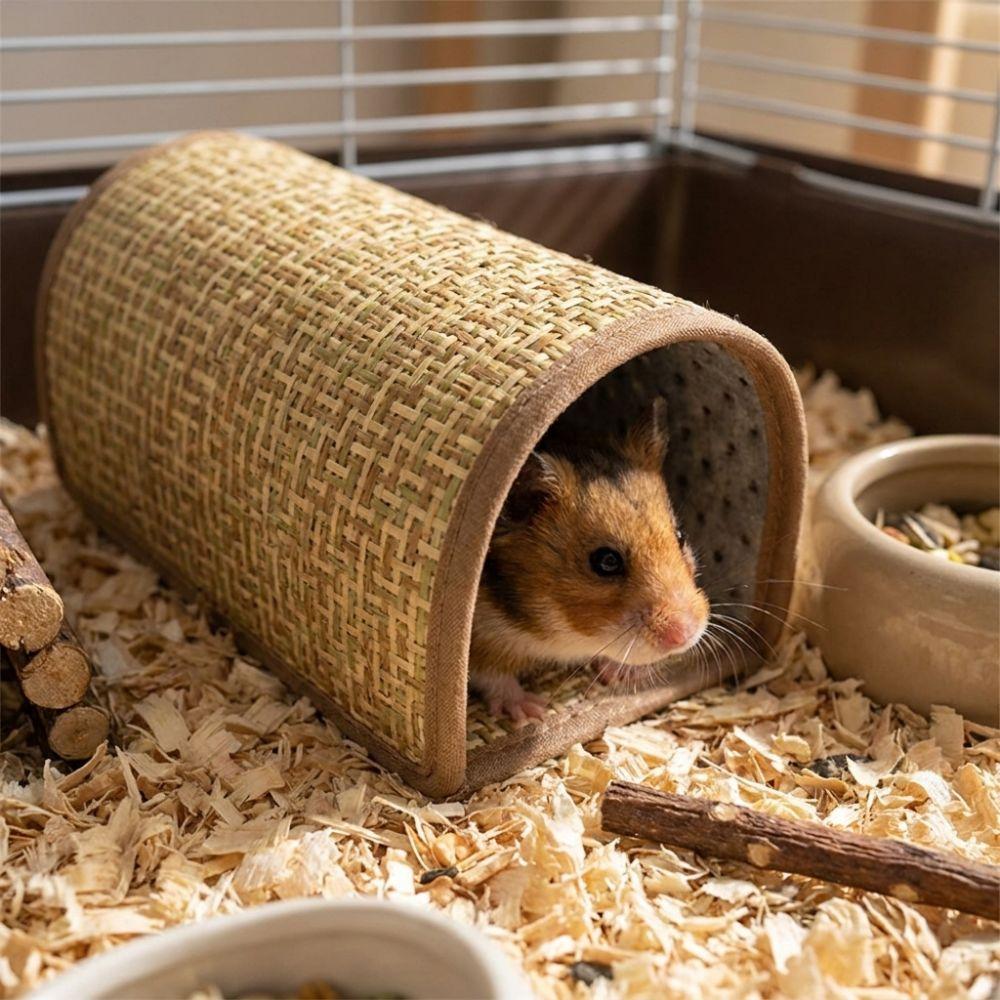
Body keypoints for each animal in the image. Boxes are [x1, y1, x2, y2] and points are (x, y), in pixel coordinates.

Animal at [470, 396, 710, 722]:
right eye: (606, 561)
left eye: (681, 535)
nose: (685, 636)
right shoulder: (479, 636)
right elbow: (492, 674)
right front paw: (531, 712)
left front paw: (621, 674)